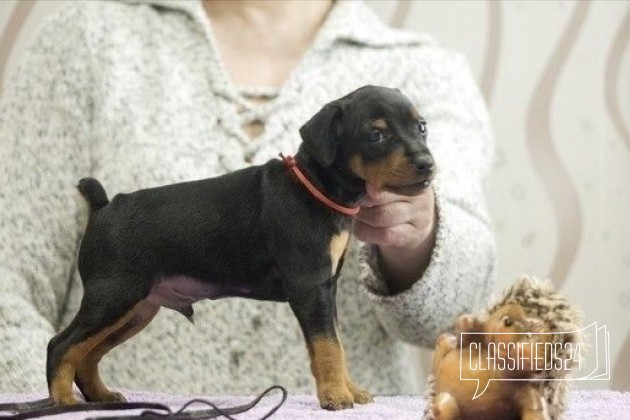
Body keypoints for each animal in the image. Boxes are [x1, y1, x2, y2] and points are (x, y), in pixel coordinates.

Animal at [47, 85, 436, 410]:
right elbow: (327, 346)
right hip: (114, 294)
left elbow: (336, 341)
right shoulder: (311, 287)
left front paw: (349, 389)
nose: (428, 164)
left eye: (421, 127)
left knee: (88, 355)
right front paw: (336, 396)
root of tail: (104, 207)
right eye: (376, 134)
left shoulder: (327, 290)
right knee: (62, 345)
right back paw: (63, 401)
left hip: (137, 308)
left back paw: (101, 398)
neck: (317, 185)